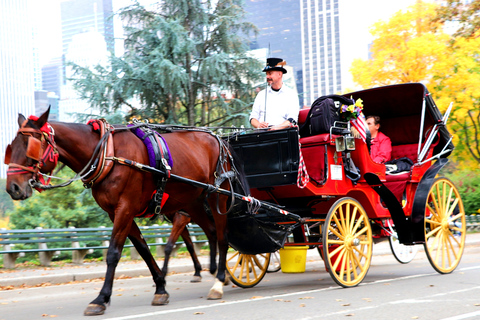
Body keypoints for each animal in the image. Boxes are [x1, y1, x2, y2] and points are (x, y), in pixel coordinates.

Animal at [4, 109, 248, 316]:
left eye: (30, 146)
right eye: (11, 147)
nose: (12, 188)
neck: (108, 155)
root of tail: (218, 139)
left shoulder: (125, 208)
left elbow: (113, 253)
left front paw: (101, 298)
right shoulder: (117, 212)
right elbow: (143, 249)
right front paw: (161, 287)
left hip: (218, 196)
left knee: (222, 236)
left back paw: (219, 282)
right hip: (194, 201)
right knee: (211, 231)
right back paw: (220, 274)